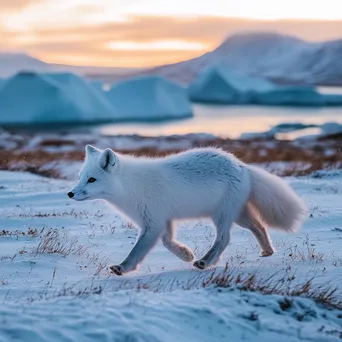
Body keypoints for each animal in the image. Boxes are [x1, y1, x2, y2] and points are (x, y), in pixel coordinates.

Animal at [68, 144, 306, 276]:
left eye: (92, 179)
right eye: (80, 176)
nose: (70, 194)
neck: (130, 187)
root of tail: (241, 165)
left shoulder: (153, 223)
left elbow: (138, 249)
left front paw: (123, 268)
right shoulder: (162, 220)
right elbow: (167, 242)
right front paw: (185, 254)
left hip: (222, 215)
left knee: (224, 238)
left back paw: (205, 262)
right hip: (239, 215)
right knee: (259, 226)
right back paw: (267, 251)